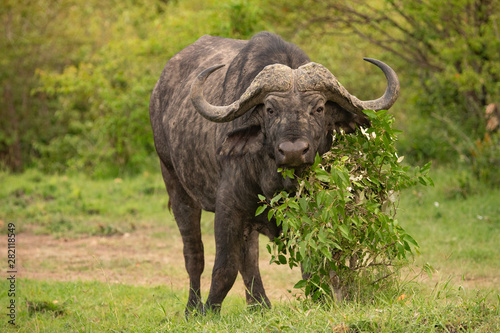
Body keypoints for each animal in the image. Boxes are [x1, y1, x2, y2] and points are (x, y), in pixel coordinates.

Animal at [148, 30, 398, 312]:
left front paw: (320, 301)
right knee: (195, 254)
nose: (293, 151)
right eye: (270, 109)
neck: (273, 177)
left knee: (249, 256)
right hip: (174, 182)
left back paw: (259, 305)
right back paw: (193, 308)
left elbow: (313, 261)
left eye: (319, 108)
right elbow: (224, 267)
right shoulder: (228, 206)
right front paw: (210, 310)